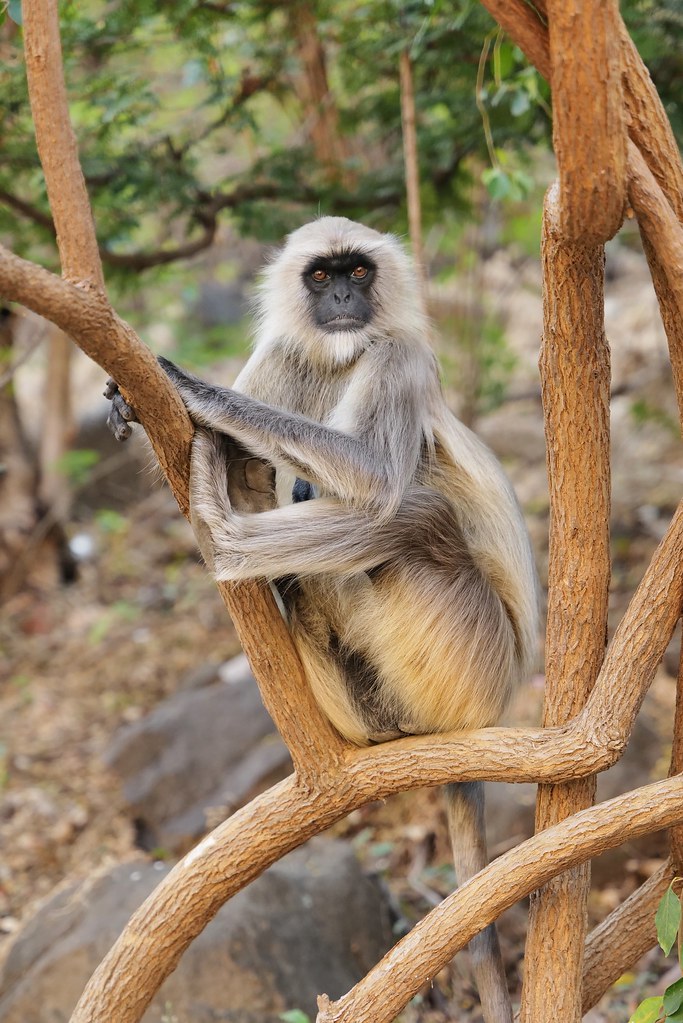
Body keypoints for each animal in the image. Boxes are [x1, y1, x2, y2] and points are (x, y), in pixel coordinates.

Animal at [106, 216, 538, 1023]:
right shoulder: (284, 355)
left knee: (406, 508)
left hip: (472, 656)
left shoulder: (398, 354)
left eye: (358, 272)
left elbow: (373, 474)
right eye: (320, 276)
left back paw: (228, 541)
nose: (341, 297)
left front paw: (194, 390)